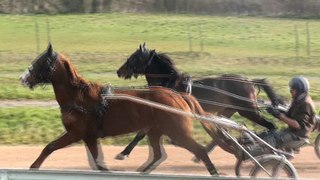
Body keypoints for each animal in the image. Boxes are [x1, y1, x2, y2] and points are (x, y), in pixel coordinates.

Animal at [19, 43, 220, 175]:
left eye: (40, 62)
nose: (23, 78)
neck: (77, 96)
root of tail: (177, 95)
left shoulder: (76, 133)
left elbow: (50, 147)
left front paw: (33, 167)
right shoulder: (89, 137)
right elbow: (98, 163)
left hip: (177, 131)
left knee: (200, 151)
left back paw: (214, 171)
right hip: (155, 131)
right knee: (157, 154)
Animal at [115, 43, 284, 160]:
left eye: (135, 57)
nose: (119, 71)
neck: (168, 82)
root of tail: (250, 81)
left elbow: (141, 133)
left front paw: (124, 153)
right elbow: (143, 132)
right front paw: (124, 152)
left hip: (248, 111)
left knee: (271, 125)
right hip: (226, 111)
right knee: (221, 132)